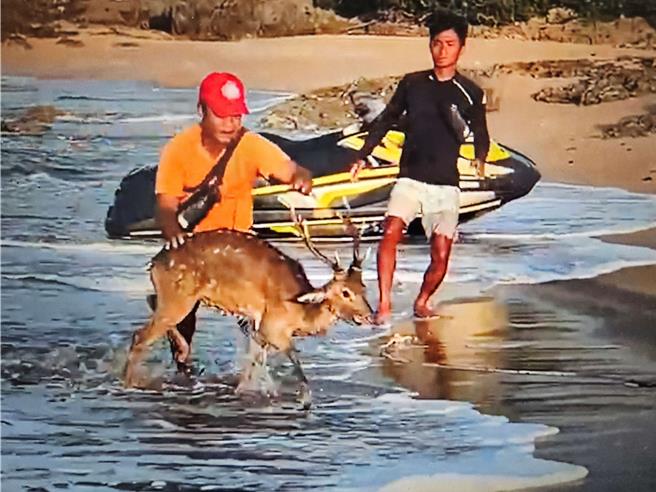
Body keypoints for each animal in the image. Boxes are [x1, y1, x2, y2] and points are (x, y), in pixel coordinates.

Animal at [122, 216, 368, 408]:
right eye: (345, 292)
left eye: (363, 288)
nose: (368, 316)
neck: (300, 313)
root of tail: (154, 263)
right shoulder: (271, 328)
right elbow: (296, 363)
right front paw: (305, 400)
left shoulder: (257, 331)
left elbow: (253, 365)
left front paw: (247, 390)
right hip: (178, 298)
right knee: (140, 336)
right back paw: (129, 383)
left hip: (178, 299)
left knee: (151, 301)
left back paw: (180, 350)